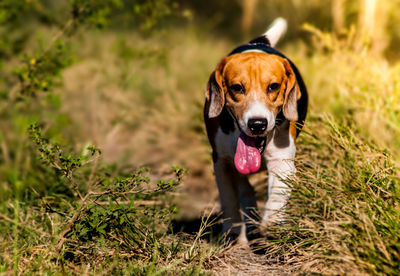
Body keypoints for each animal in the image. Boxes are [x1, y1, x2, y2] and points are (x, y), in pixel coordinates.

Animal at [205, 18, 308, 242]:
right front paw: (232, 230)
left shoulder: (282, 160)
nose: (257, 123)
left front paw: (273, 223)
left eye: (273, 86)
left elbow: (277, 195)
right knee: (245, 190)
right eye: (237, 87)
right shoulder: (222, 161)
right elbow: (229, 197)